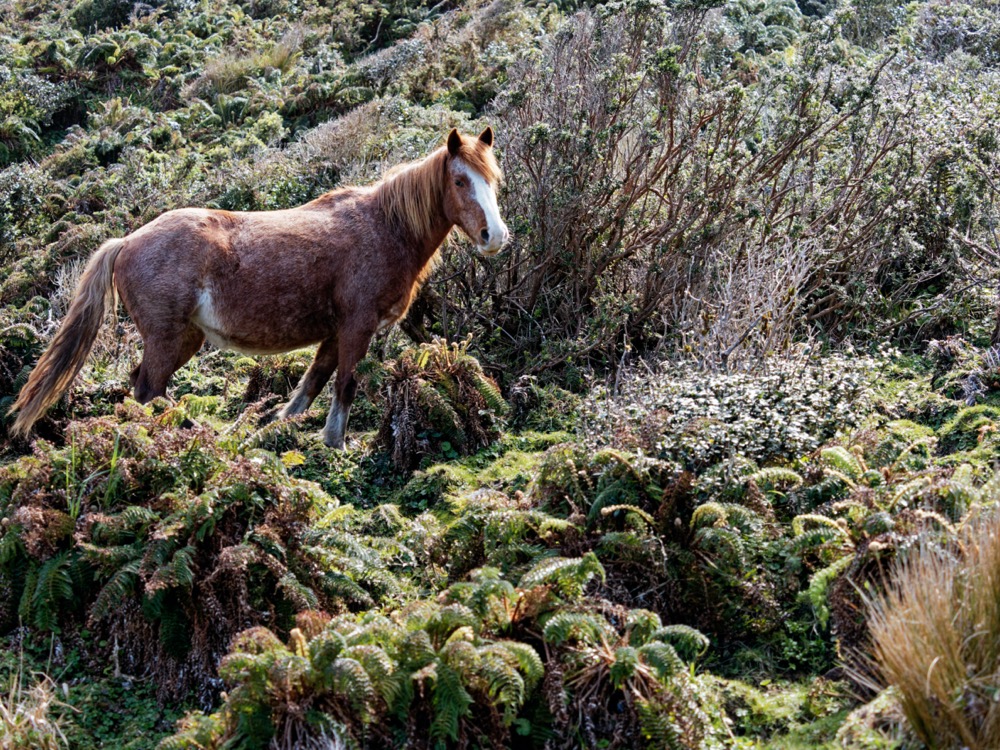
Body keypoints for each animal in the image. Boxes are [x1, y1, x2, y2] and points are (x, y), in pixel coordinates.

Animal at [13, 126, 516, 450]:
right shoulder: (357, 326)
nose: (494, 236)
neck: (385, 227)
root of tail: (127, 241)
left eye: (493, 179)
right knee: (147, 390)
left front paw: (274, 430)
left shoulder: (335, 332)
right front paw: (335, 445)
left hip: (185, 339)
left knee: (145, 387)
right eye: (459, 181)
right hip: (166, 338)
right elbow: (345, 386)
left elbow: (312, 385)